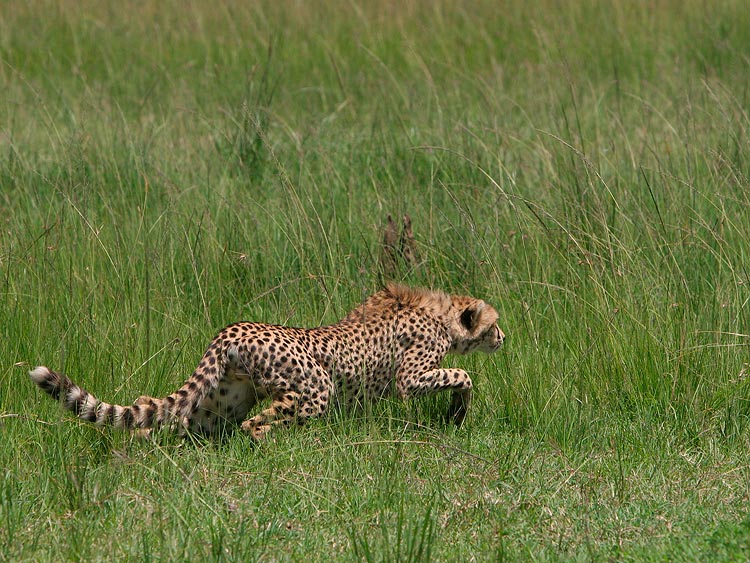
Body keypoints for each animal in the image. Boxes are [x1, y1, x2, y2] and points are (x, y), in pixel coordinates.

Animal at [29, 284, 506, 438]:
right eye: (494, 324)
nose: (504, 337)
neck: (441, 314)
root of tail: (232, 329)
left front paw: (456, 414)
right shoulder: (411, 375)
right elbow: (462, 373)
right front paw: (458, 411)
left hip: (219, 402)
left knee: (163, 419)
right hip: (315, 387)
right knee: (258, 424)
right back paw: (279, 444)